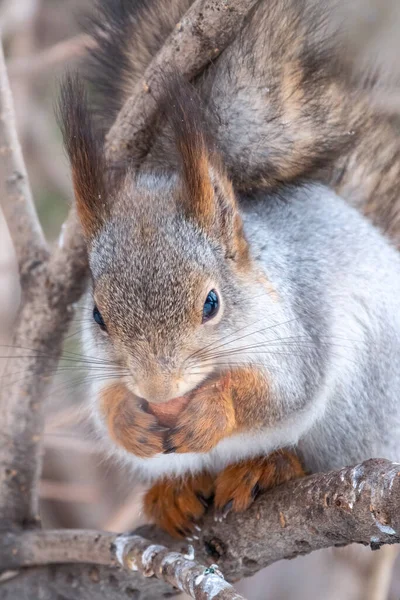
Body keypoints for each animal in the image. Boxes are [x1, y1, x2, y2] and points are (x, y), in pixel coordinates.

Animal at [57, 0, 400, 540]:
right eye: (97, 316)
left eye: (211, 303)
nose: (159, 393)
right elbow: (104, 402)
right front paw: (129, 419)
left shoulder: (299, 331)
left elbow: (279, 392)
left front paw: (212, 411)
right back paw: (174, 493)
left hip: (358, 408)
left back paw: (269, 465)